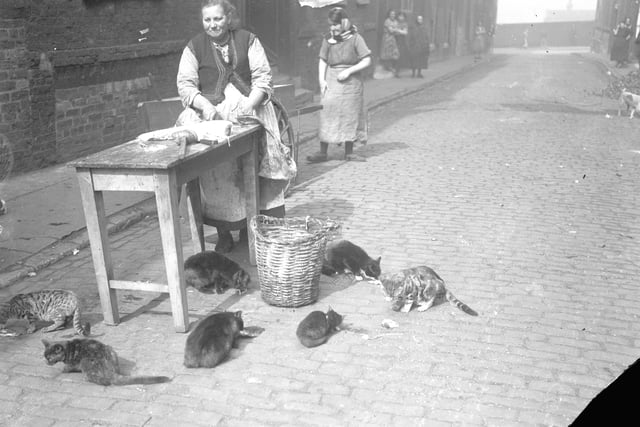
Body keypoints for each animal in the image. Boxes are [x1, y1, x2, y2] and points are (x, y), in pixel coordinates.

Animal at [42, 340, 172, 386]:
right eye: (45, 357)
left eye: (49, 358)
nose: (46, 363)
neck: (68, 348)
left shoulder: (71, 363)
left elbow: (66, 368)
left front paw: (61, 370)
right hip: (111, 349)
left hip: (86, 362)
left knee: (104, 381)